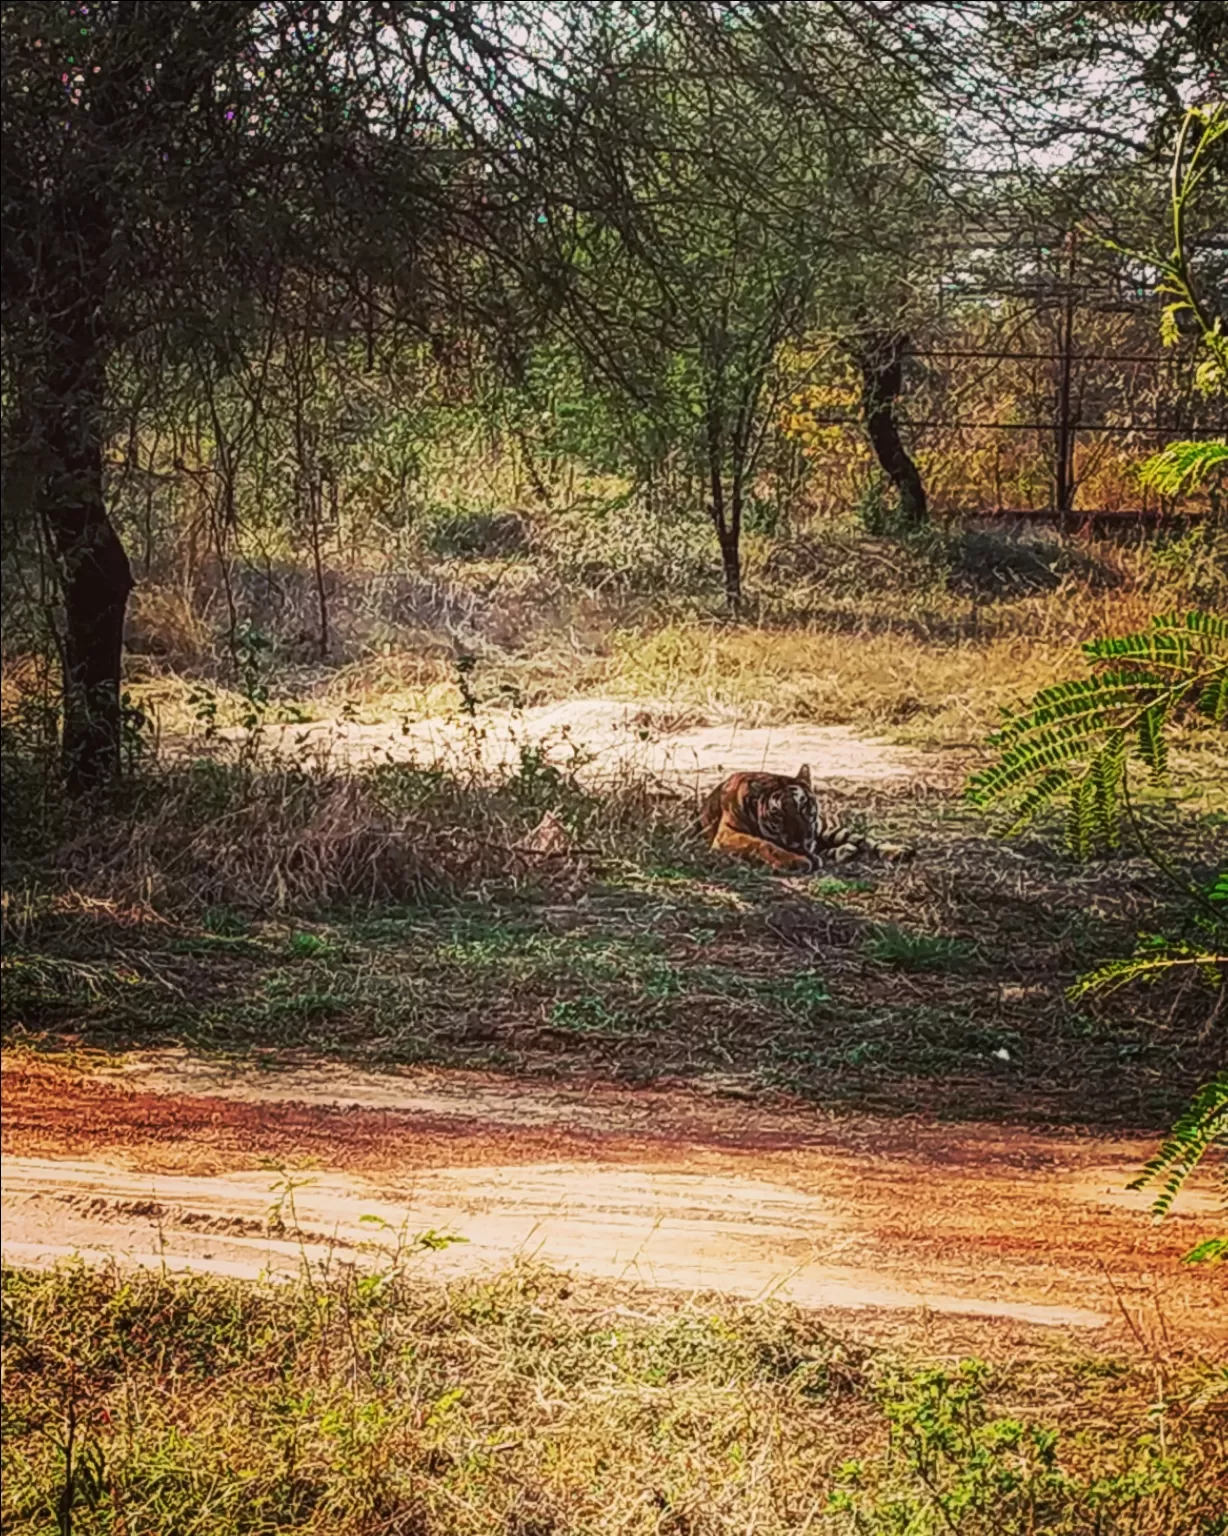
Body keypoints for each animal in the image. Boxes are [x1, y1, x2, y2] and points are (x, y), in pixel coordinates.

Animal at [700, 764, 903, 878]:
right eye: (778, 814)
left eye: (803, 805)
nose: (801, 839)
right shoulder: (726, 834)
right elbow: (762, 844)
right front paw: (797, 862)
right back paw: (843, 852)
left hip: (826, 829)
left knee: (861, 839)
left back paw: (895, 851)